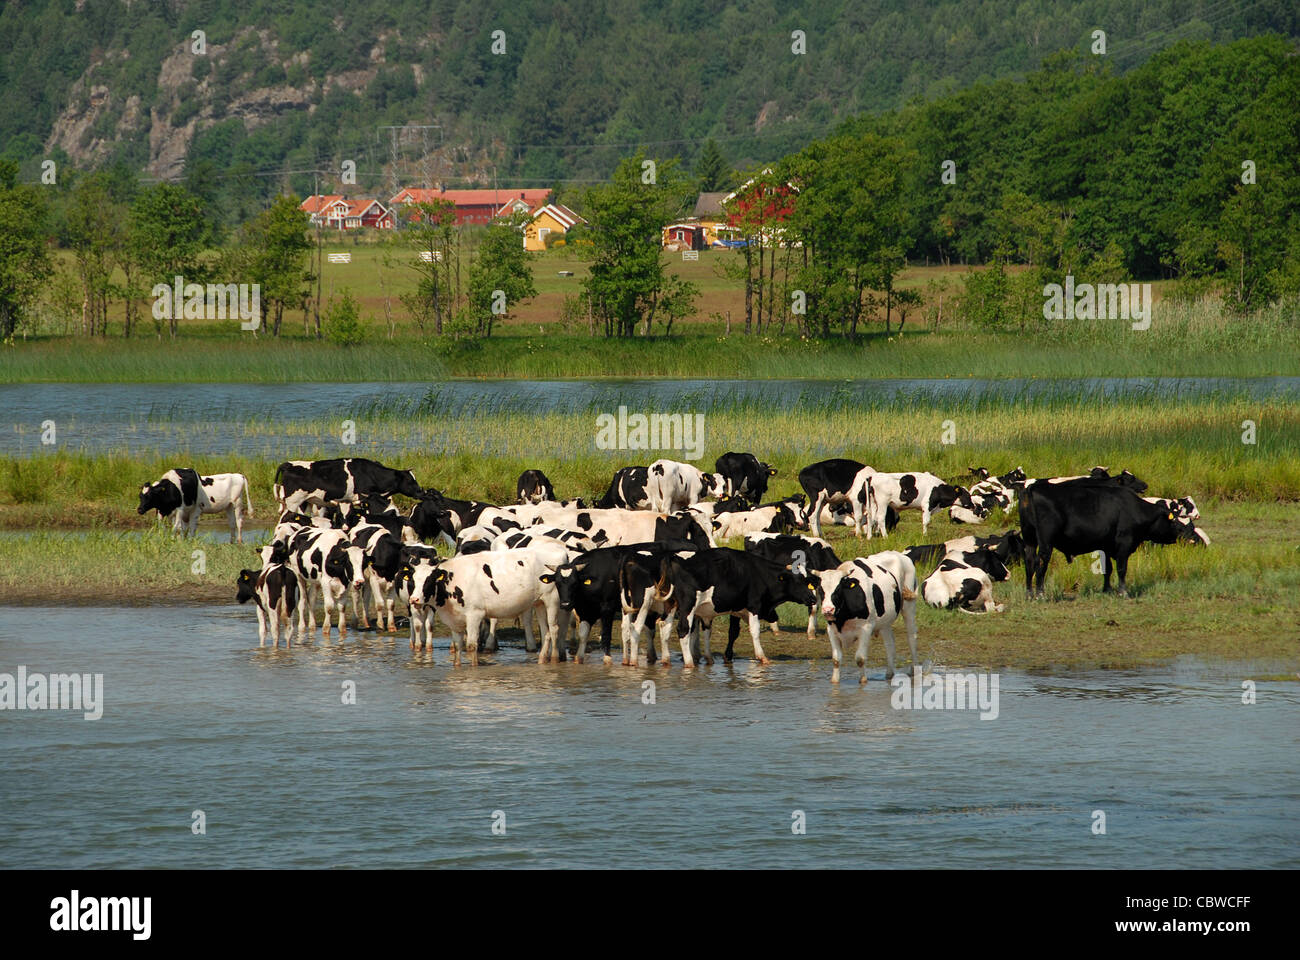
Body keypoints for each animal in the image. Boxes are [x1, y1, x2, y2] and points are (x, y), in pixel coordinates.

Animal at [275, 457, 426, 512]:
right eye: (410, 480)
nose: (421, 492)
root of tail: (287, 464)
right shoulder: (363, 498)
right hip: (293, 502)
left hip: (304, 503)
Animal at [1024, 478, 1196, 598]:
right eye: (1178, 525)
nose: (1192, 539)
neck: (1134, 508)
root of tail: (1034, 487)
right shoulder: (1124, 544)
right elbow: (1121, 568)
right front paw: (1123, 592)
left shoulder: (1105, 546)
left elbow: (1107, 569)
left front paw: (1107, 590)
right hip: (1046, 543)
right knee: (1041, 562)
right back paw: (1040, 594)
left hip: (1030, 540)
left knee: (1029, 562)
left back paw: (1030, 593)